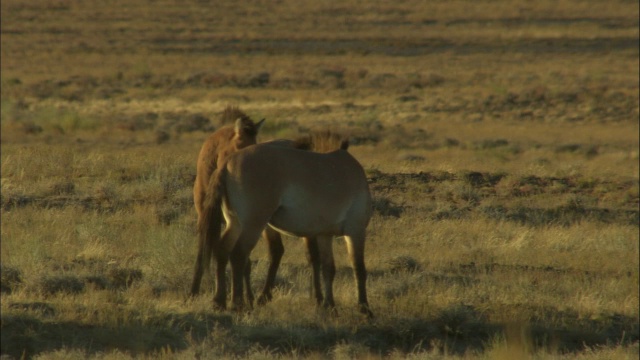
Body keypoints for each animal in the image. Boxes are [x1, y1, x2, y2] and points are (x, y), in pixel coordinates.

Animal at [198, 136, 372, 318]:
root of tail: (227, 163)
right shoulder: (355, 231)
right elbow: (359, 268)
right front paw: (364, 309)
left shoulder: (325, 234)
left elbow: (328, 269)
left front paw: (330, 306)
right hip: (253, 225)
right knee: (238, 255)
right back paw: (238, 304)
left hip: (235, 224)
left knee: (222, 251)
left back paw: (219, 302)